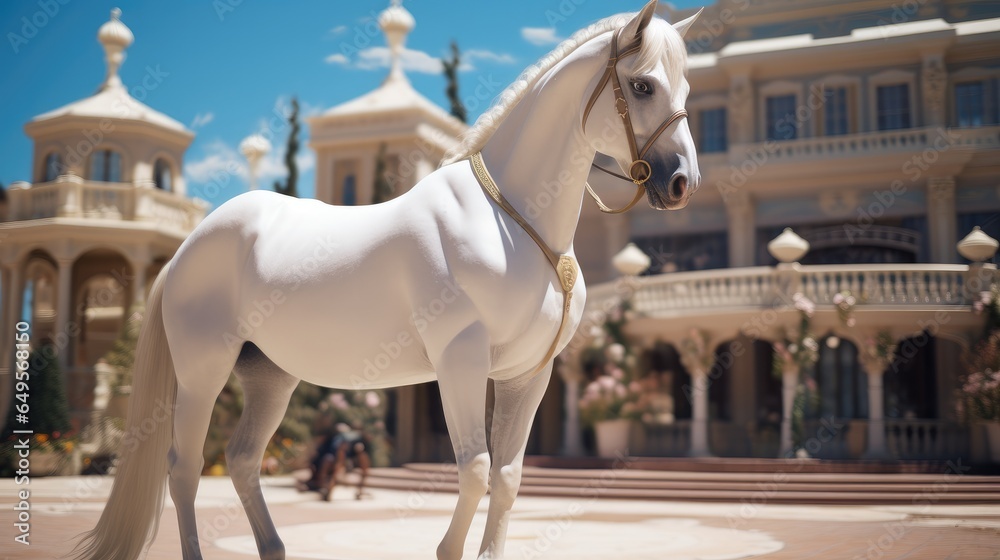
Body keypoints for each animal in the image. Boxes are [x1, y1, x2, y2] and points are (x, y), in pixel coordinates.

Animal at [74, 2, 704, 556]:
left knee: (244, 459)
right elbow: (475, 471)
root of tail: (190, 246)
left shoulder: (529, 374)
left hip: (270, 375)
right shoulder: (460, 359)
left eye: (687, 92)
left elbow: (507, 479)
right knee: (183, 469)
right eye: (642, 86)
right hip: (202, 369)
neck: (510, 218)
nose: (681, 184)